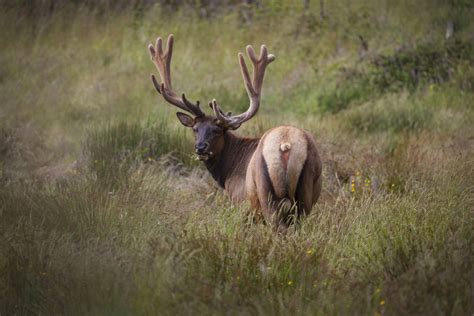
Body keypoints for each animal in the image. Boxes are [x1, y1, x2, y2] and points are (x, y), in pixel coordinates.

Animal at [148, 35, 322, 232]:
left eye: (217, 130)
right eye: (195, 129)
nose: (200, 148)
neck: (227, 173)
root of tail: (285, 144)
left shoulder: (241, 202)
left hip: (266, 192)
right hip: (307, 191)